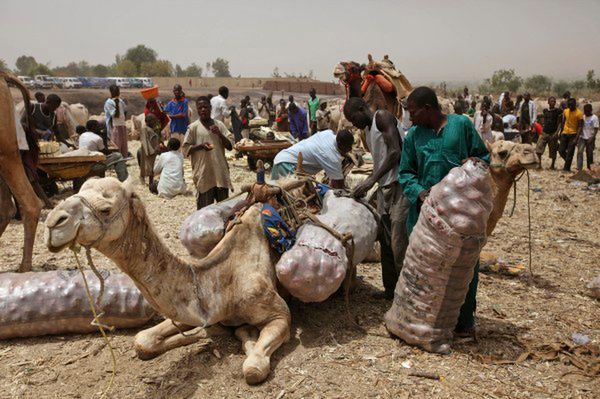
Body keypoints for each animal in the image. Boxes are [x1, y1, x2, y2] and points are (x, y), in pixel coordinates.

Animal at [44, 177, 290, 384]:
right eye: (79, 189)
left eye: (106, 209)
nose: (53, 222)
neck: (219, 280)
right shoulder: (192, 312)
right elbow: (142, 341)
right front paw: (209, 333)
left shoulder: (279, 314)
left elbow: (253, 369)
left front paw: (244, 336)